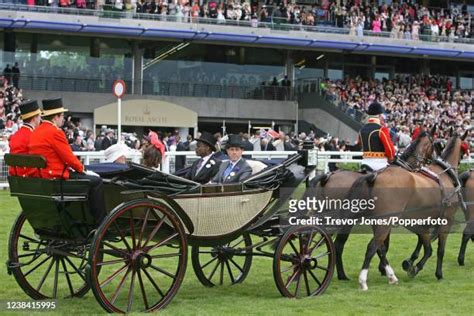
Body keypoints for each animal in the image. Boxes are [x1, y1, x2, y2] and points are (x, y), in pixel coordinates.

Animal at [312, 127, 436, 280]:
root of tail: (329, 176)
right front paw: (384, 269)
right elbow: (383, 246)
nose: (433, 159)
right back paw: (340, 274)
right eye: (433, 143)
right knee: (337, 244)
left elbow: (382, 246)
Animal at [352, 130, 466, 290]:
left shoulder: (422, 223)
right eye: (463, 149)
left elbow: (427, 247)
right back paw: (364, 280)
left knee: (379, 247)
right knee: (372, 247)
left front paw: (412, 264)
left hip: (379, 223)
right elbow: (439, 249)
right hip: (385, 222)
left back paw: (390, 275)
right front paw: (437, 273)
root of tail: (374, 176)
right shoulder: (446, 221)